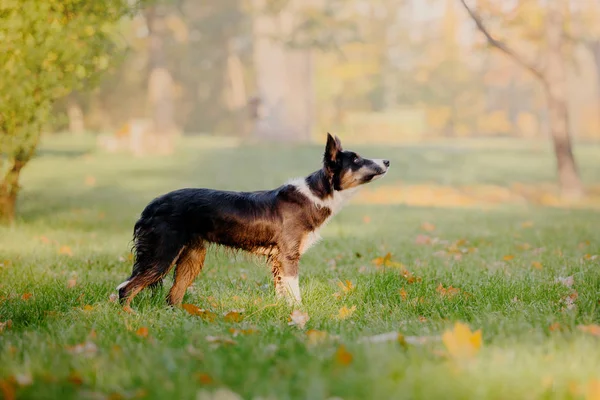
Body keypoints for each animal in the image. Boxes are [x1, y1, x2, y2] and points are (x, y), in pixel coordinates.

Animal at [116, 134, 390, 306]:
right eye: (356, 160)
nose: (387, 160)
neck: (318, 193)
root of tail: (151, 205)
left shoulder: (278, 261)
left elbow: (283, 293)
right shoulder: (289, 256)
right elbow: (295, 294)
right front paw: (301, 317)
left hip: (191, 258)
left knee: (172, 296)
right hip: (162, 254)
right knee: (125, 289)